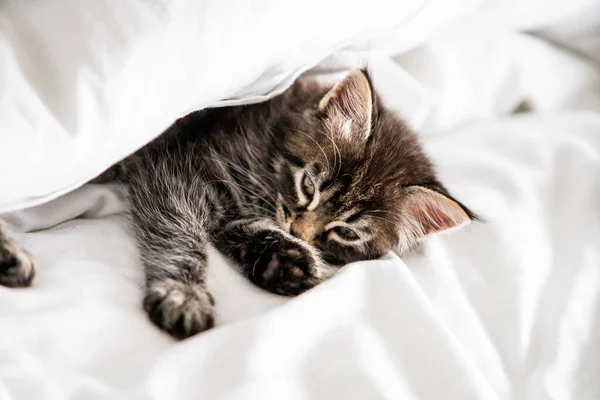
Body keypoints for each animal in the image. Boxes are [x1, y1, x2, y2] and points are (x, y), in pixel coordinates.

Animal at [1, 71, 478, 338]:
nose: (299, 232)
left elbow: (247, 231)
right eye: (309, 185)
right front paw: (184, 294)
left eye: (346, 231)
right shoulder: (175, 173)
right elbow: (181, 238)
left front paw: (287, 260)